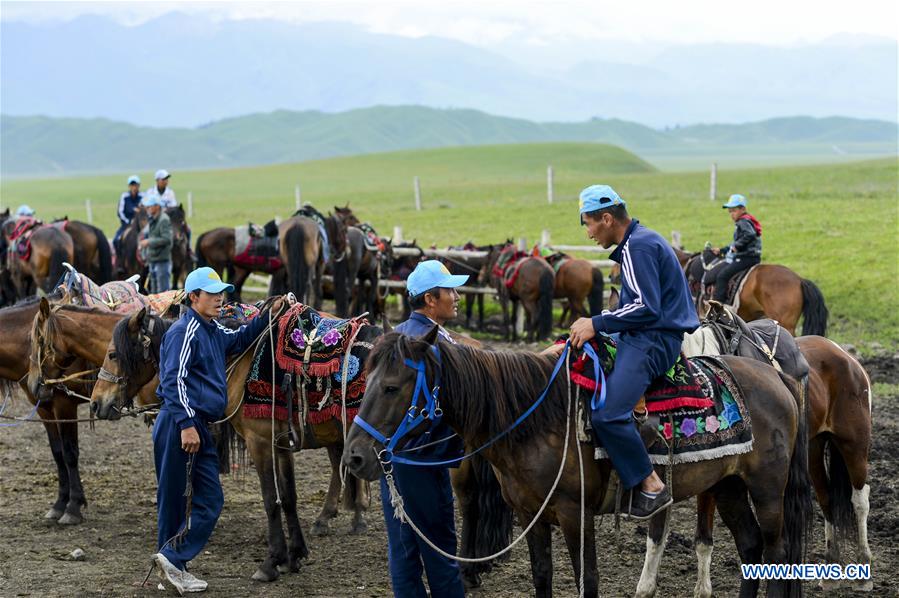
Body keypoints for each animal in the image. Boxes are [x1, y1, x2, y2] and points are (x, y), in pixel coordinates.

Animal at [94, 308, 380, 584]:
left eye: (112, 354)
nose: (97, 402)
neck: (242, 360)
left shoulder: (259, 442)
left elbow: (270, 500)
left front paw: (271, 562)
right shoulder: (280, 445)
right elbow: (288, 498)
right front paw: (294, 556)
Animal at [344, 330, 808, 598]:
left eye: (391, 387)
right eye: (365, 381)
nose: (355, 456)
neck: (533, 420)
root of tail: (776, 377)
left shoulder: (574, 514)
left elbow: (589, 581)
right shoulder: (529, 514)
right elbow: (542, 576)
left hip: (767, 489)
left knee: (776, 552)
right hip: (728, 486)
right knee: (750, 547)